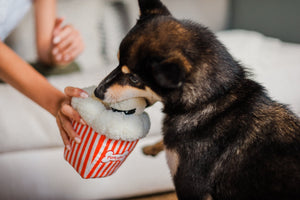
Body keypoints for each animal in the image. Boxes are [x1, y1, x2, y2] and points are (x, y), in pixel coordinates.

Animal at [94, 0, 300, 199]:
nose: (97, 92)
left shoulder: (189, 186)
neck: (209, 100)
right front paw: (152, 147)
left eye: (134, 79)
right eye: (117, 62)